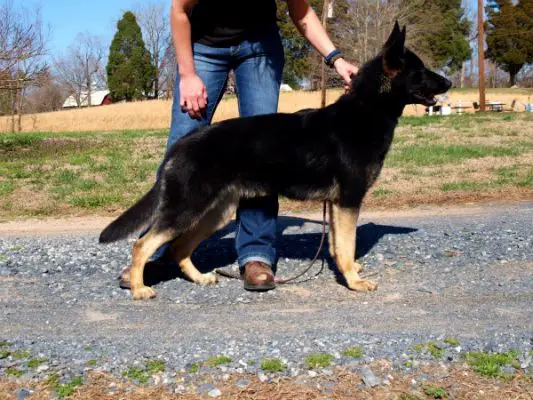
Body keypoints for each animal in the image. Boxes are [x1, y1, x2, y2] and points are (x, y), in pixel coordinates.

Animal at [98, 23, 448, 300]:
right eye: (421, 71)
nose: (448, 83)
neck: (368, 107)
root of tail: (180, 146)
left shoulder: (338, 205)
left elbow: (339, 245)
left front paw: (347, 271)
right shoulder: (348, 201)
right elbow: (347, 245)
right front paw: (354, 280)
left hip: (215, 212)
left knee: (178, 248)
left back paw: (199, 278)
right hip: (187, 209)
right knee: (143, 244)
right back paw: (139, 287)